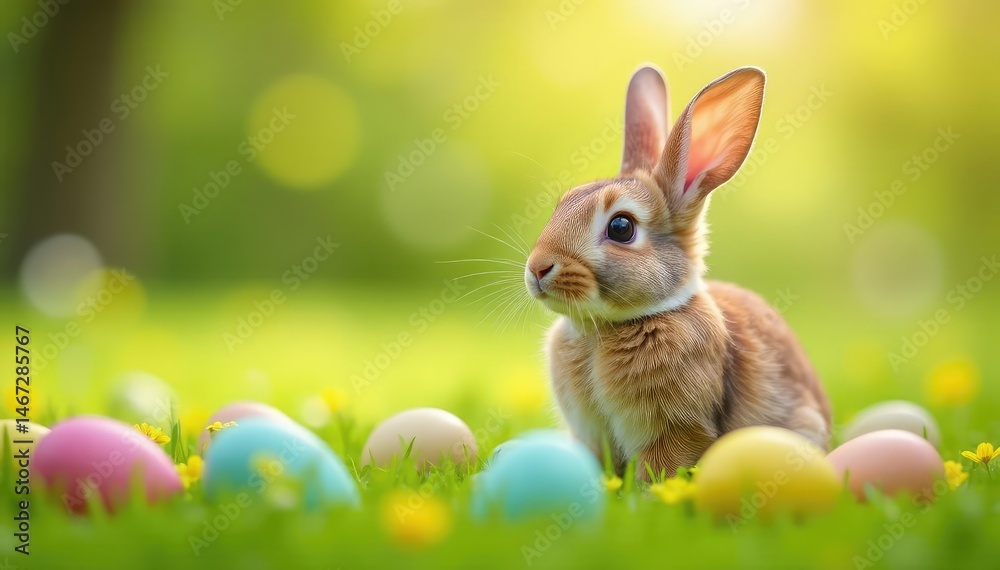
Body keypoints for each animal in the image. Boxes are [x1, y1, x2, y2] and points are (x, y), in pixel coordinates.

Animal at [524, 65, 831, 478]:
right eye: (562, 205)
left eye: (621, 227)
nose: (537, 268)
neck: (602, 329)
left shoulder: (676, 429)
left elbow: (662, 467)